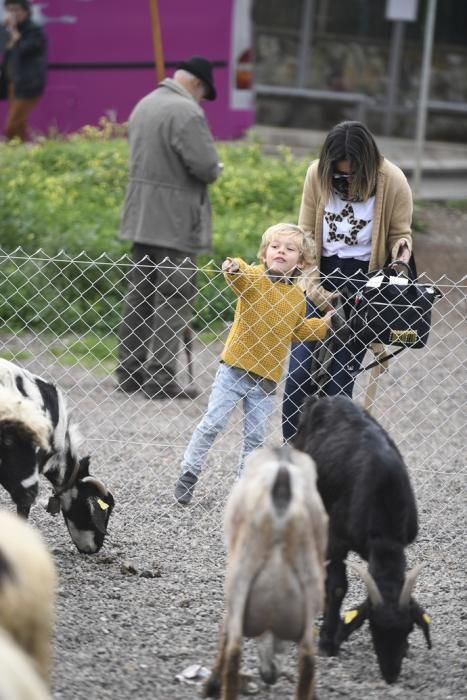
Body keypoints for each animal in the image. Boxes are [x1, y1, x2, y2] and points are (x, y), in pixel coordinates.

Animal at [294, 396, 434, 688]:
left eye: (407, 629)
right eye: (373, 627)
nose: (391, 674)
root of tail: (322, 399)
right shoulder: (337, 539)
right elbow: (337, 586)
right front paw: (327, 641)